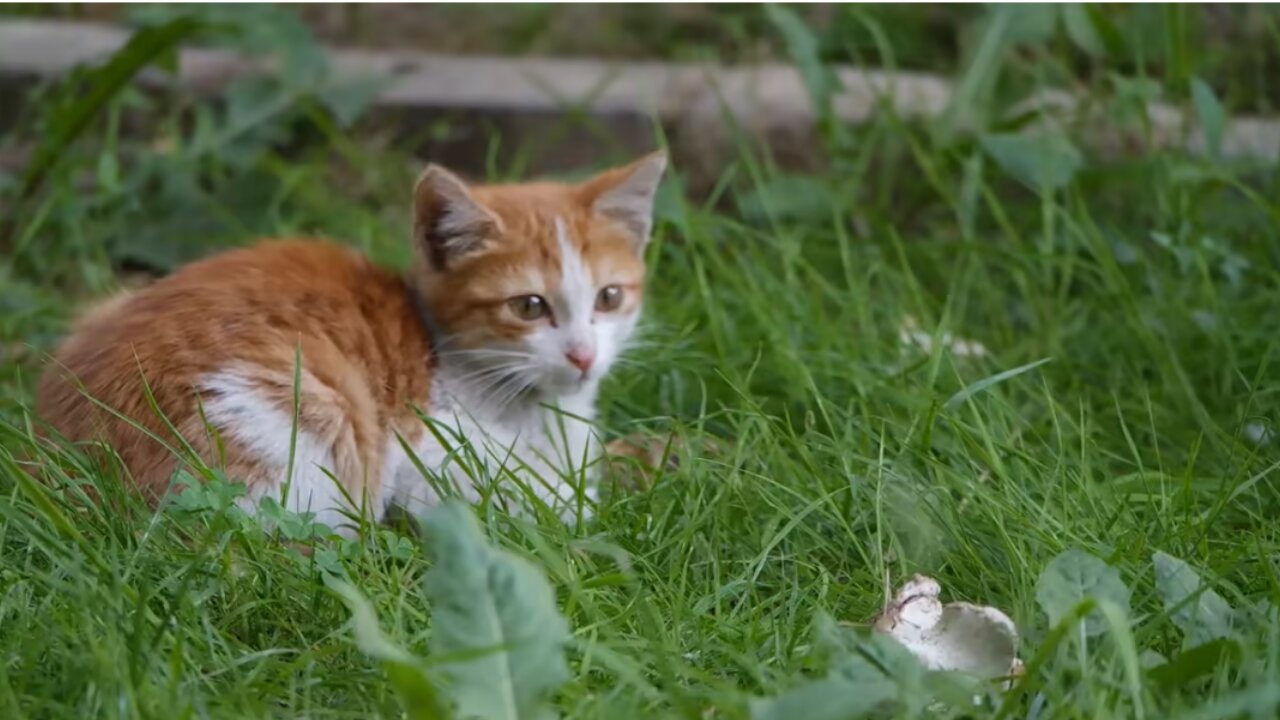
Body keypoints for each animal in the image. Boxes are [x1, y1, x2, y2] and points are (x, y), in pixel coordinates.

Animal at [37, 151, 670, 532]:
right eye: (529, 306)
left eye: (609, 297)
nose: (583, 355)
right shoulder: (429, 460)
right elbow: (550, 506)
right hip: (310, 399)